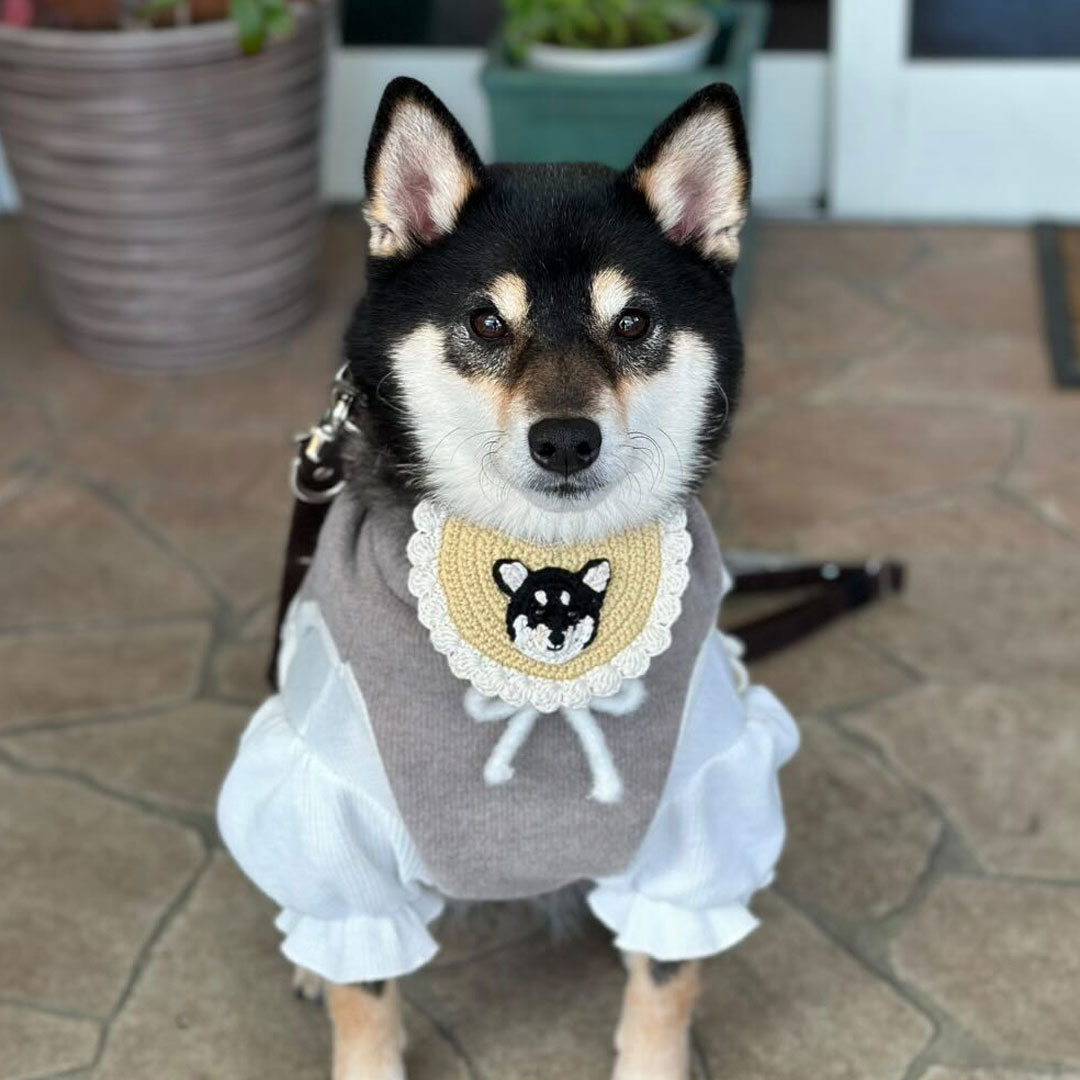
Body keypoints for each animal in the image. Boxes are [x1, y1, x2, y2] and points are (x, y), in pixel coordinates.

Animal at [219, 76, 798, 1080]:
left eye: (634, 322)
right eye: (488, 322)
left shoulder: (700, 811)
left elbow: (666, 980)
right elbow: (364, 988)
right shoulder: (337, 824)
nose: (565, 440)